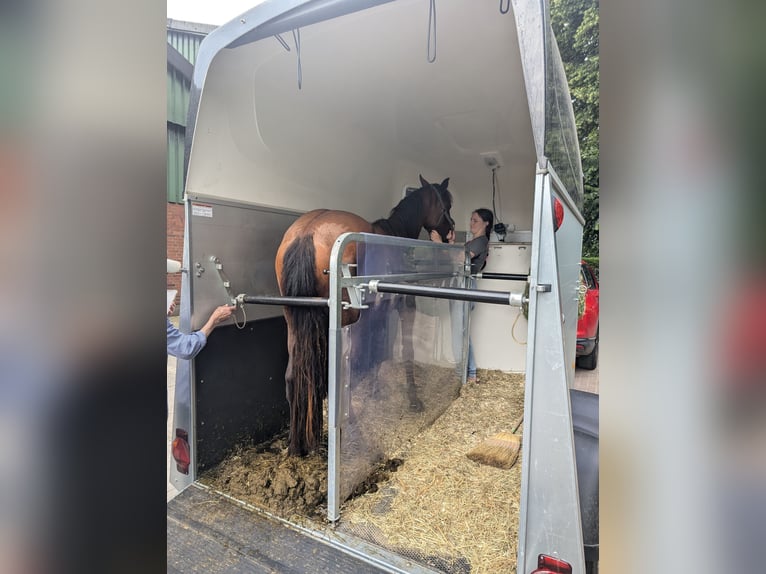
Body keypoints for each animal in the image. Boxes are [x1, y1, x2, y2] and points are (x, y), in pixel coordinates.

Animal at [278, 178, 456, 456]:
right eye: (446, 203)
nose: (450, 231)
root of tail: (307, 232)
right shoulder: (404, 307)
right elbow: (403, 351)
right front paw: (414, 399)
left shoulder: (377, 314)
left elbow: (377, 353)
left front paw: (376, 392)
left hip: (293, 324)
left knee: (293, 376)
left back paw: (296, 445)